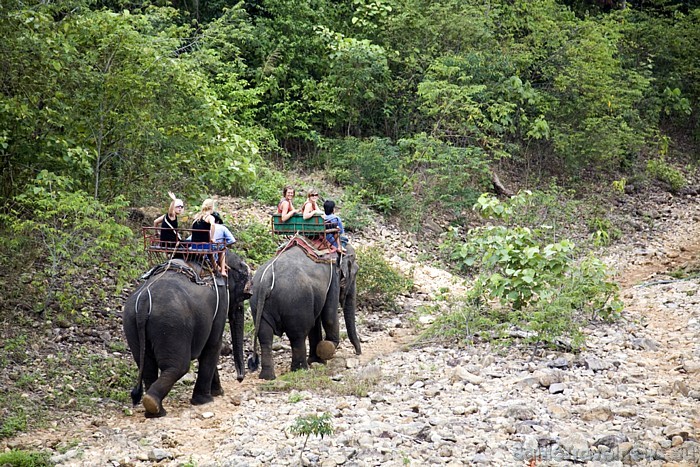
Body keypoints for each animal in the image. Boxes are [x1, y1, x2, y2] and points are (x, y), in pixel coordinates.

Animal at [121, 254, 250, 418]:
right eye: (244, 297)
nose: (240, 378)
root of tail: (144, 302)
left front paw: (217, 393)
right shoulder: (221, 301)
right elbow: (213, 345)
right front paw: (206, 400)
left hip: (131, 321)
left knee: (148, 366)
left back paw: (153, 410)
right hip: (172, 325)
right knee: (178, 366)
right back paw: (154, 405)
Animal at [247, 241, 360, 380]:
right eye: (355, 273)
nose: (357, 353)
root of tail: (267, 280)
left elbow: (316, 323)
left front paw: (318, 360)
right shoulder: (333, 277)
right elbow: (329, 317)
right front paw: (326, 349)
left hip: (258, 304)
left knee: (265, 336)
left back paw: (267, 377)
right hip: (296, 303)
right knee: (298, 335)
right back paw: (301, 369)